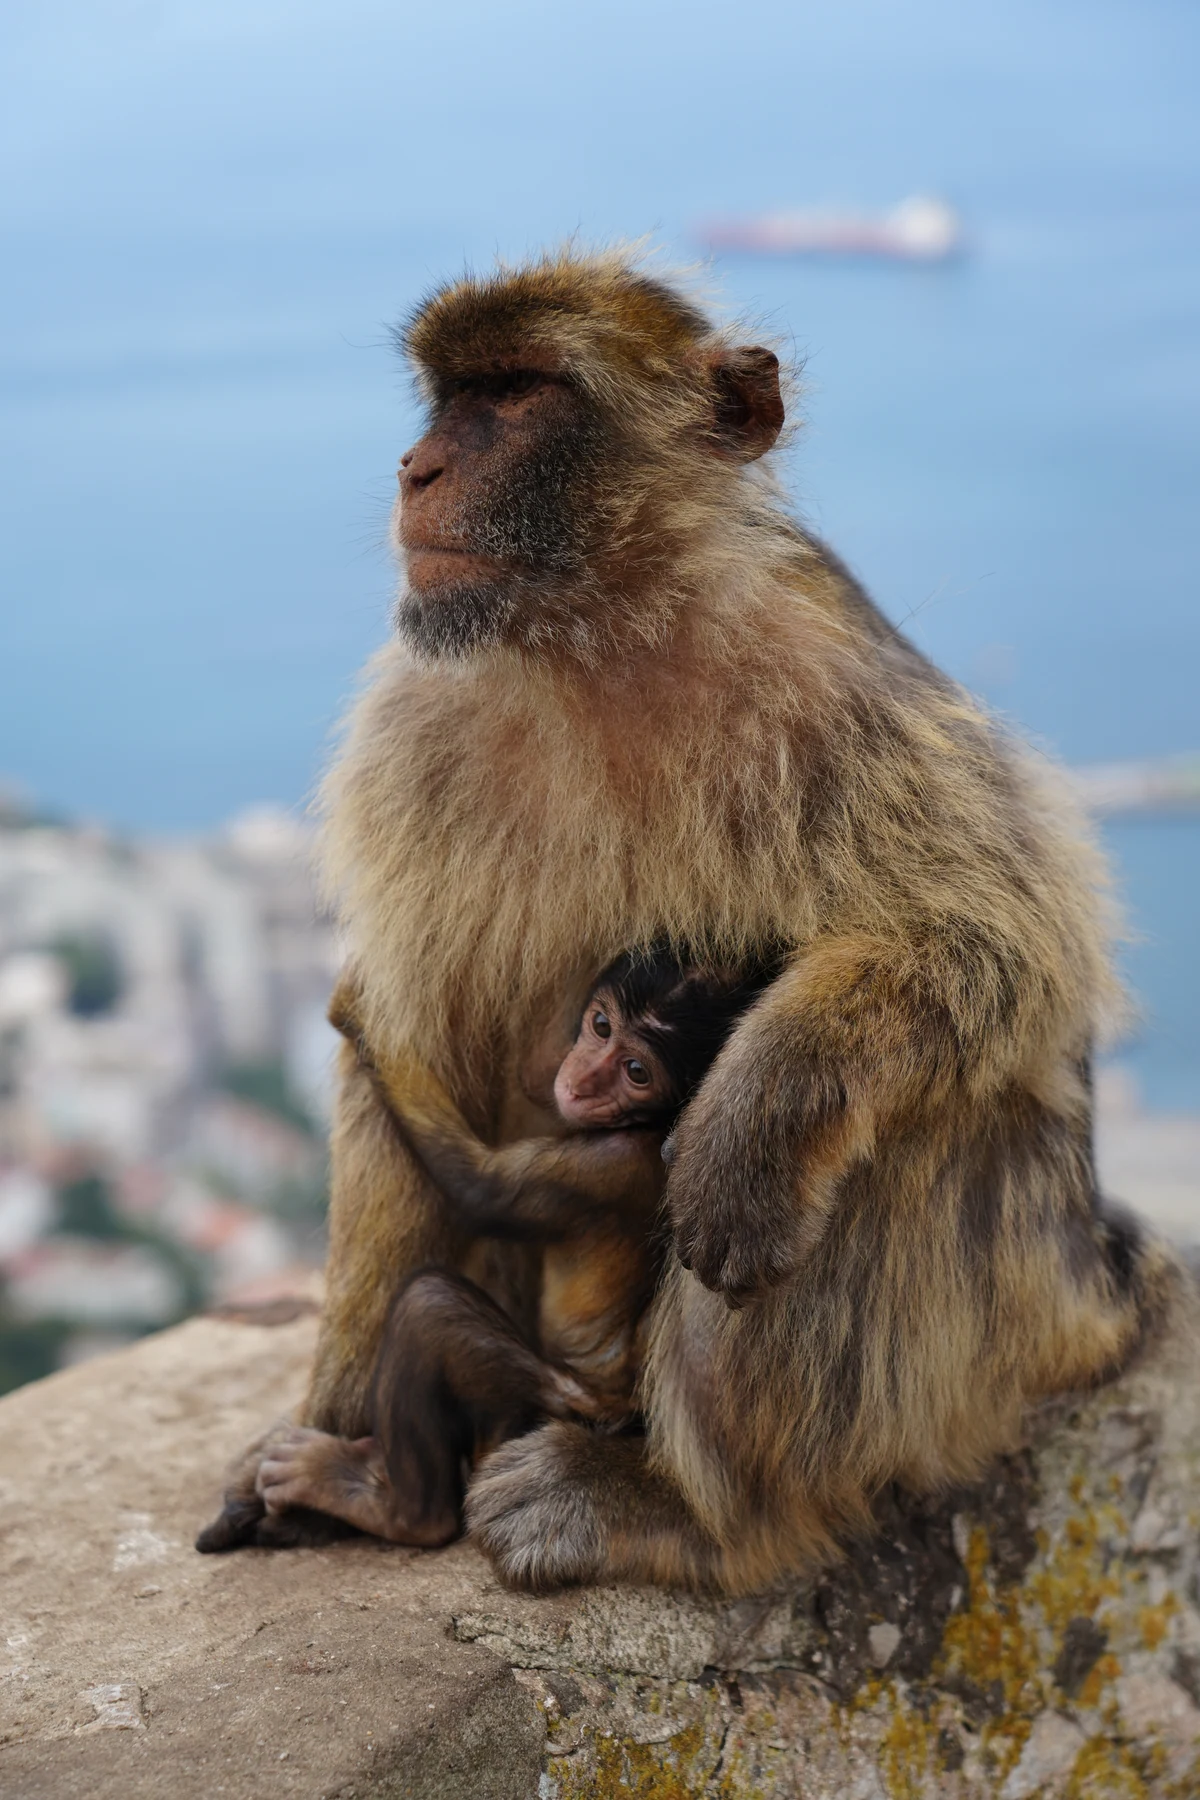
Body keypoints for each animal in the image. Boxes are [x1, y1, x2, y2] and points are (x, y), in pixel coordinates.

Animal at [199, 948, 777, 1549]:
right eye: (601, 1026)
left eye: (635, 1072)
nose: (585, 1081)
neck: (645, 1124)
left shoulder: (602, 1163)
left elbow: (480, 1189)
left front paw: (361, 1018)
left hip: (536, 1413)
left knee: (430, 1309)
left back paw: (397, 1508)